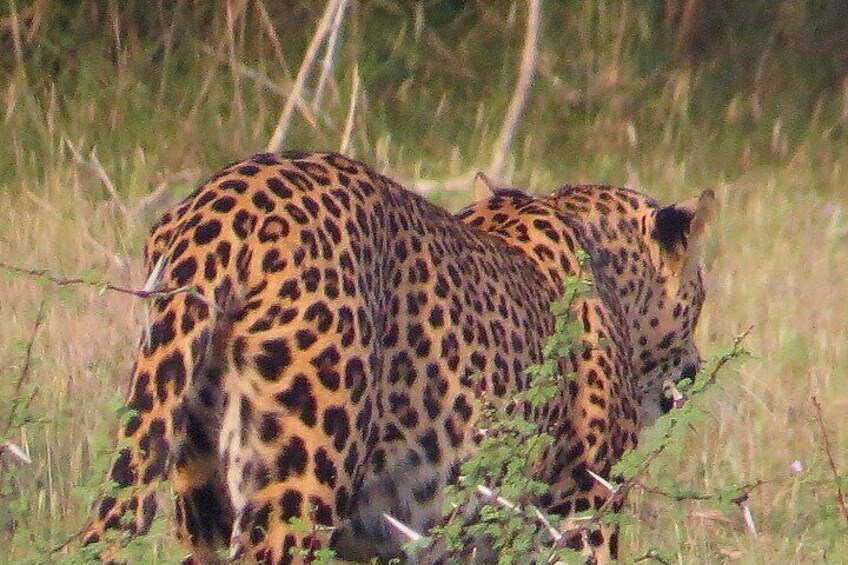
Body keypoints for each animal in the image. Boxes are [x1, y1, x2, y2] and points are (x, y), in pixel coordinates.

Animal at [79, 151, 712, 564]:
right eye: (702, 294)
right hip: (297, 486)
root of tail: (220, 209)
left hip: (194, 480)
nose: (696, 365)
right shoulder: (583, 511)